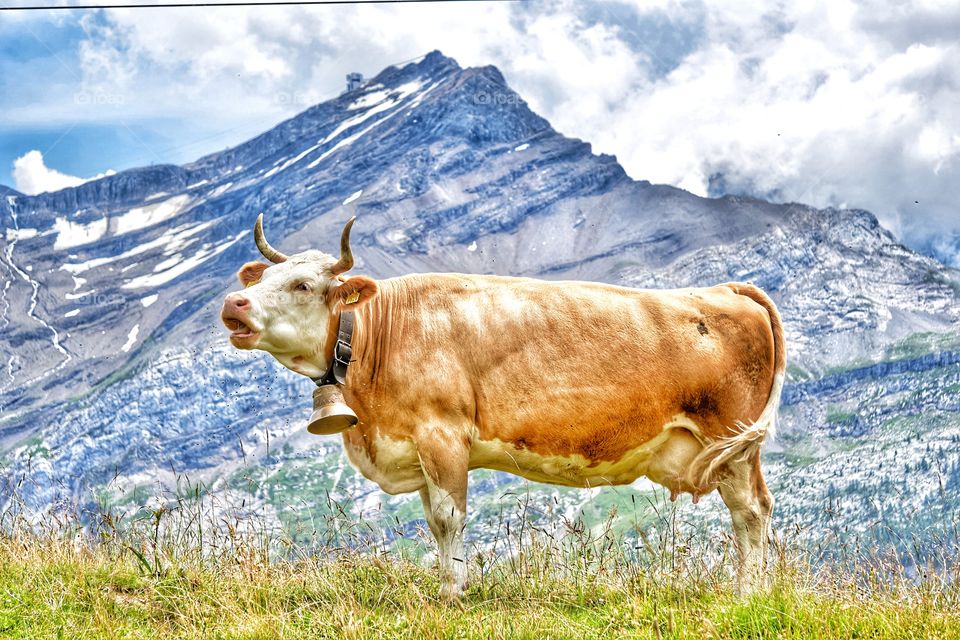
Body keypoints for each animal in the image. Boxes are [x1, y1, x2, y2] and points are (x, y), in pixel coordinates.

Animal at [220, 215, 786, 598]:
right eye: (257, 282)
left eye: (302, 285)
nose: (233, 303)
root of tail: (726, 288)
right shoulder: (418, 450)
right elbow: (434, 523)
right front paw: (447, 586)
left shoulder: (443, 434)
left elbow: (449, 518)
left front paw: (453, 594)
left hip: (732, 441)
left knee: (751, 512)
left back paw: (748, 594)